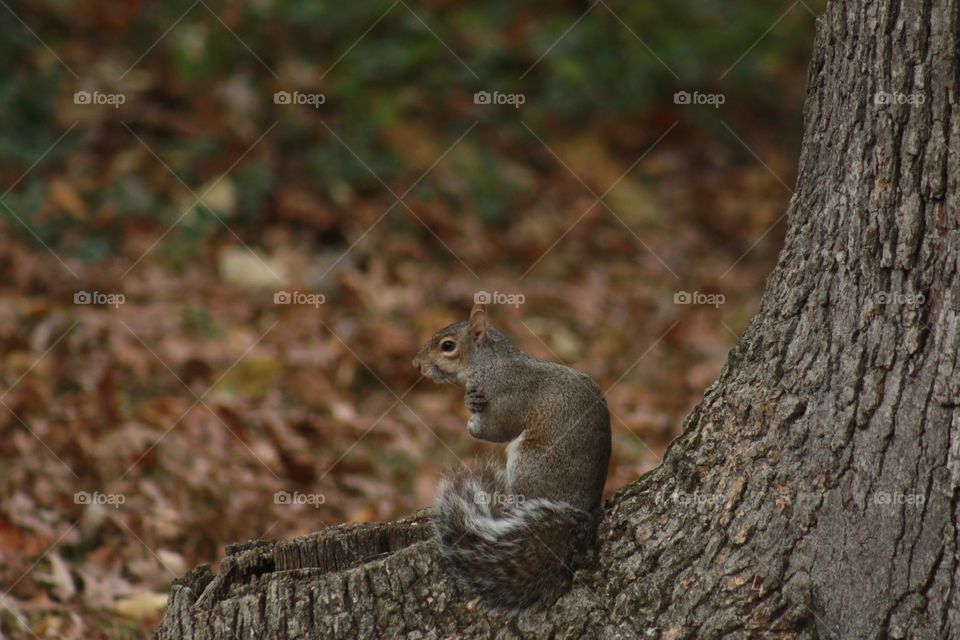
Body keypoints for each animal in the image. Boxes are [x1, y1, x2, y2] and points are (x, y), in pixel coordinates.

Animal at [413, 303, 611, 611]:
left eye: (447, 346)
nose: (417, 364)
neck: (489, 362)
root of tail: (583, 509)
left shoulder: (505, 397)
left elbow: (498, 428)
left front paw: (471, 420)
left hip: (527, 463)